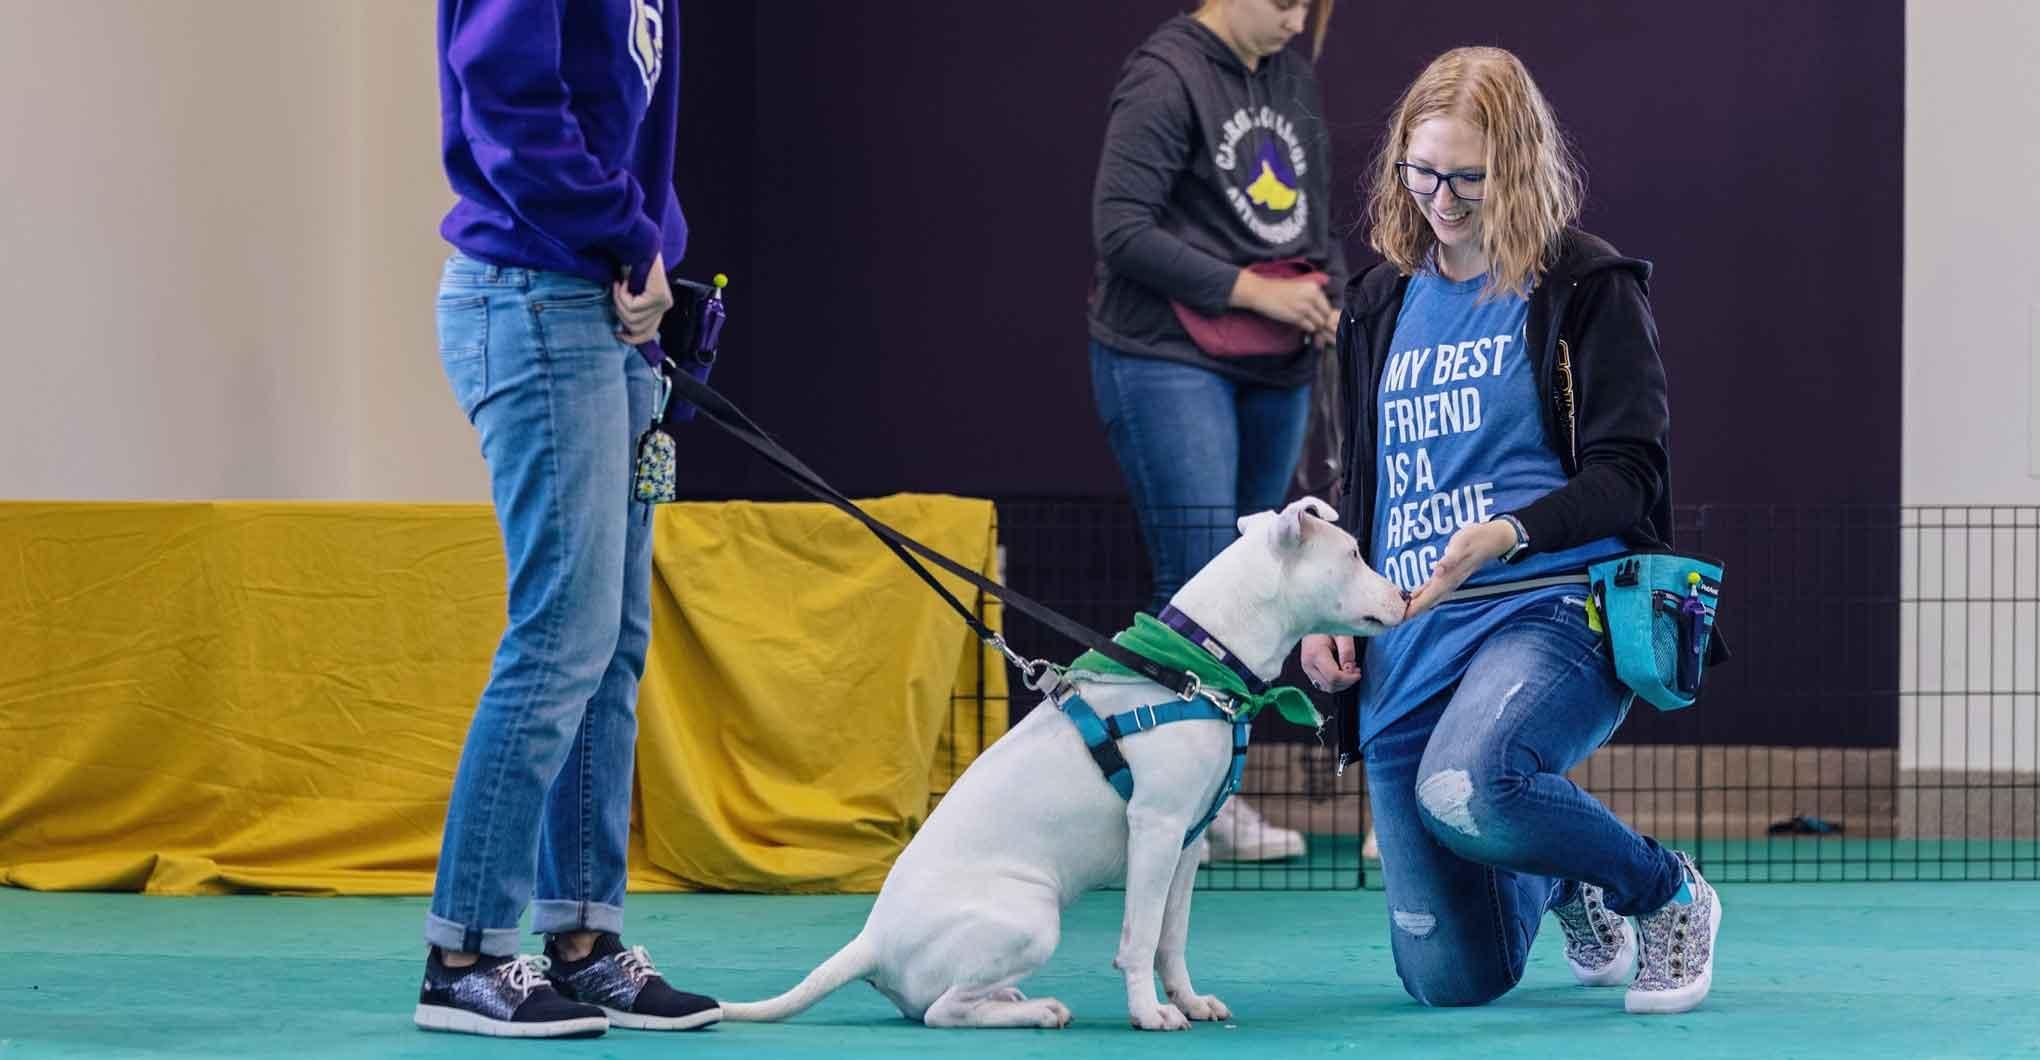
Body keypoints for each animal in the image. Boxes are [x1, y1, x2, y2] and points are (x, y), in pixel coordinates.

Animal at [718, 501, 1403, 1031]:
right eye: (1352, 554)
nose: (1402, 595)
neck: (1195, 667)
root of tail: (870, 944)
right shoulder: (1154, 829)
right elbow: (1139, 937)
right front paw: (1149, 1014)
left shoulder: (1186, 840)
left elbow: (1172, 936)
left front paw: (1188, 1001)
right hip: (1032, 916)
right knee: (943, 1011)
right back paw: (1039, 1010)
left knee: (938, 1004)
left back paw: (1012, 998)